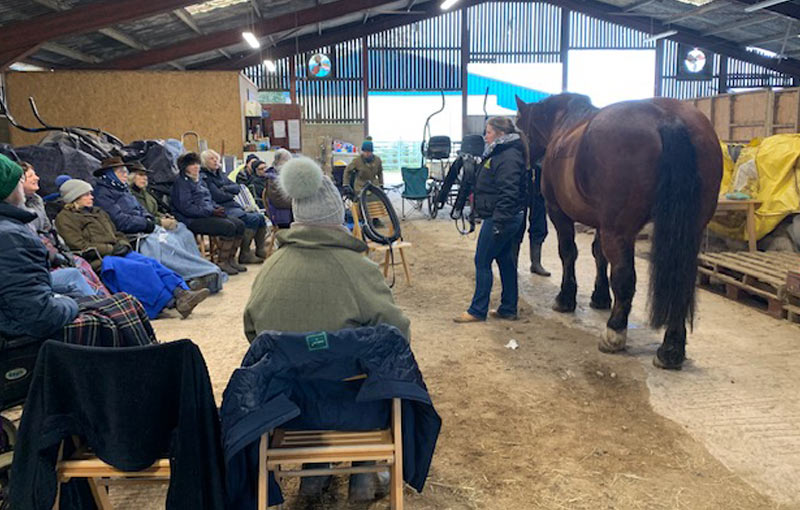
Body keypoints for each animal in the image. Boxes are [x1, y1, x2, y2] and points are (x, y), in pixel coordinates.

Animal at [516, 93, 720, 368]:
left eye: (518, 126)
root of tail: (668, 117)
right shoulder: (600, 223)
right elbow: (598, 255)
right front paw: (600, 297)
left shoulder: (559, 214)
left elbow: (569, 253)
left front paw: (565, 298)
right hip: (689, 233)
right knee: (680, 281)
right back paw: (671, 349)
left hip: (619, 231)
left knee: (625, 278)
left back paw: (615, 332)